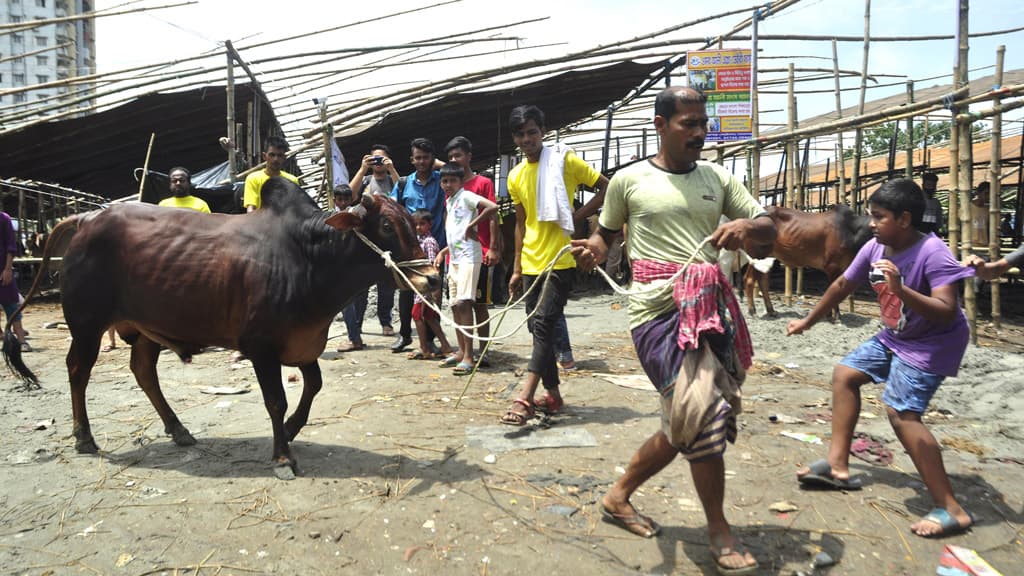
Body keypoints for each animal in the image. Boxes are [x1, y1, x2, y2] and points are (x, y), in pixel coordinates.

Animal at [2, 177, 438, 477]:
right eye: (386, 227)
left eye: (409, 222)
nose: (432, 278)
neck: (308, 256)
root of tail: (86, 217)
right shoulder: (261, 347)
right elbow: (276, 401)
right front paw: (283, 456)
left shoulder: (302, 342)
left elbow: (313, 386)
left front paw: (292, 430)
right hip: (87, 325)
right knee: (78, 370)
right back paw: (84, 437)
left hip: (146, 330)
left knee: (143, 372)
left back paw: (178, 429)